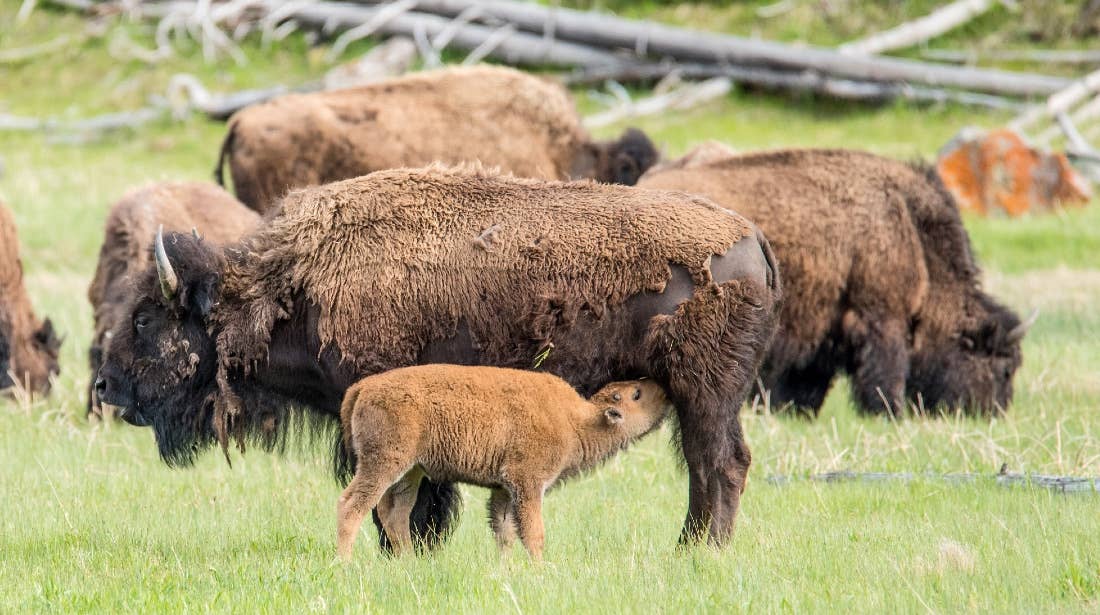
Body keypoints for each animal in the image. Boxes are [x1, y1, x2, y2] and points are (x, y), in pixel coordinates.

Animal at [96, 165, 780, 549]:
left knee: (718, 464)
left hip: (706, 393)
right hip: (699, 396)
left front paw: (409, 549)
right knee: (711, 466)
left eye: (145, 318)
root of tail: (751, 238)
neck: (292, 287)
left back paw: (698, 551)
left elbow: (408, 494)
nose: (105, 388)